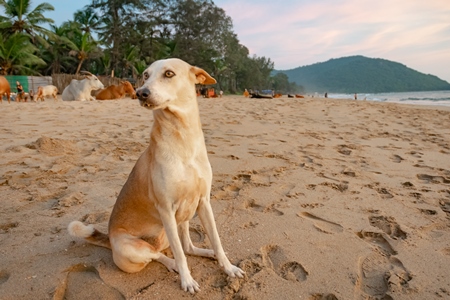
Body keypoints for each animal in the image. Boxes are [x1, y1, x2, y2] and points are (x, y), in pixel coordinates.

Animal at [67, 57, 243, 292]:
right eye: (145, 75)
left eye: (169, 74)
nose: (140, 93)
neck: (182, 138)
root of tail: (110, 239)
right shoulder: (166, 210)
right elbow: (179, 255)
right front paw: (187, 280)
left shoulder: (204, 202)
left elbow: (216, 240)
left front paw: (228, 267)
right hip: (135, 248)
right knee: (160, 255)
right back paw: (175, 266)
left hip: (183, 219)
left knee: (187, 247)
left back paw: (208, 253)